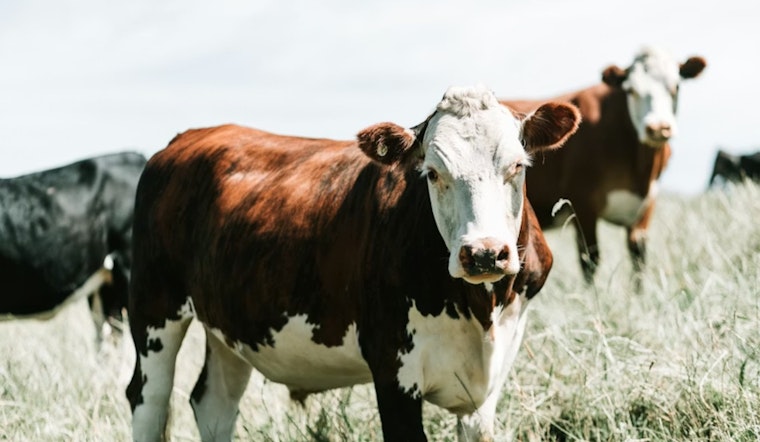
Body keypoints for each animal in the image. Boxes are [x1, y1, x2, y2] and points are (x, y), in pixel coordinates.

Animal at [125, 85, 581, 441]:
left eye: (517, 166)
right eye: (433, 172)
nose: (484, 252)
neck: (479, 308)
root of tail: (187, 138)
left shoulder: (487, 387)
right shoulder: (393, 373)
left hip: (228, 326)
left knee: (213, 405)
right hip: (153, 309)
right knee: (148, 399)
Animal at [500, 46, 707, 284]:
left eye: (676, 87)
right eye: (631, 90)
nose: (657, 128)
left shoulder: (645, 208)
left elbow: (638, 260)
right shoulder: (582, 205)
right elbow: (590, 261)